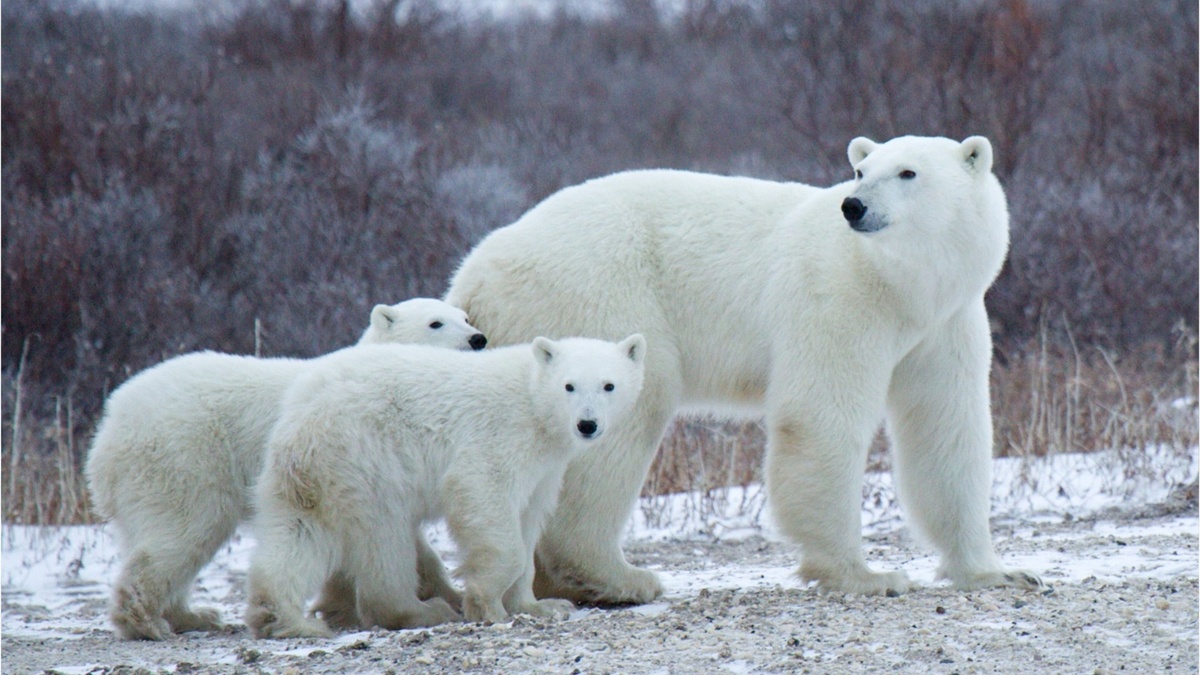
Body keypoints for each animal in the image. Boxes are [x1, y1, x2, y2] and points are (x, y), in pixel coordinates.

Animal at [84, 298, 487, 641]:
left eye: (465, 317)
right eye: (435, 322)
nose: (478, 339)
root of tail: (111, 424)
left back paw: (192, 615)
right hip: (184, 456)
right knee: (186, 528)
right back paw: (150, 622)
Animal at [245, 334, 646, 638]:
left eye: (609, 385)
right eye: (569, 386)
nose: (587, 424)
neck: (535, 406)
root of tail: (300, 416)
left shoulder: (545, 469)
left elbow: (529, 519)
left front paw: (539, 606)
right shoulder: (501, 436)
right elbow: (482, 492)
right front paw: (486, 604)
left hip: (311, 474)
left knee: (299, 534)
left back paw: (282, 618)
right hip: (365, 459)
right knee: (385, 539)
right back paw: (424, 610)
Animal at [444, 135, 1043, 603]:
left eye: (908, 171)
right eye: (860, 170)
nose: (853, 206)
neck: (902, 287)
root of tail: (473, 278)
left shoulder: (945, 324)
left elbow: (948, 431)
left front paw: (1000, 572)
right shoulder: (839, 301)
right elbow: (821, 418)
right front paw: (867, 575)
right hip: (598, 297)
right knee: (622, 421)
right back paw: (617, 578)